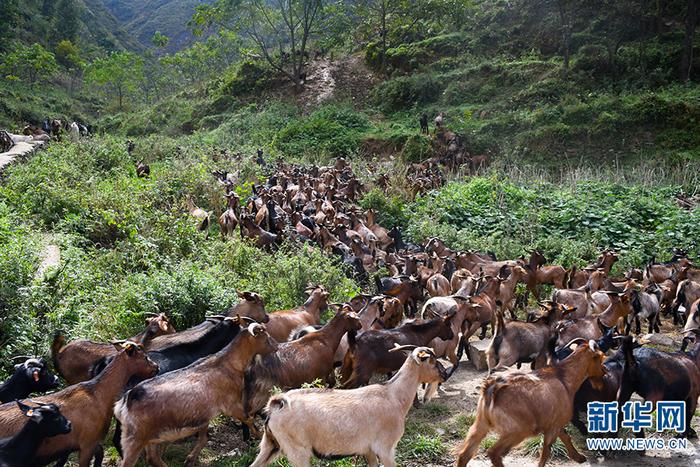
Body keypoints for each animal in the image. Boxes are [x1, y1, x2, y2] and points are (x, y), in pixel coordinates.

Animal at [115, 324, 276, 466]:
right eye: (265, 336)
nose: (276, 346)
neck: (228, 364)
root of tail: (126, 401)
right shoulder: (230, 404)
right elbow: (248, 419)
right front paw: (260, 436)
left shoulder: (205, 414)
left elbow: (204, 438)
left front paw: (190, 459)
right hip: (135, 439)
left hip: (151, 437)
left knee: (153, 458)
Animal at [456, 340, 604, 467]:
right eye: (601, 358)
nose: (604, 373)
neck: (564, 377)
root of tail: (492, 388)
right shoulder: (553, 427)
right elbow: (545, 453)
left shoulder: (554, 423)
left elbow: (566, 437)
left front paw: (579, 457)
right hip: (518, 430)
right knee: (494, 453)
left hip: (481, 424)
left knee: (465, 454)